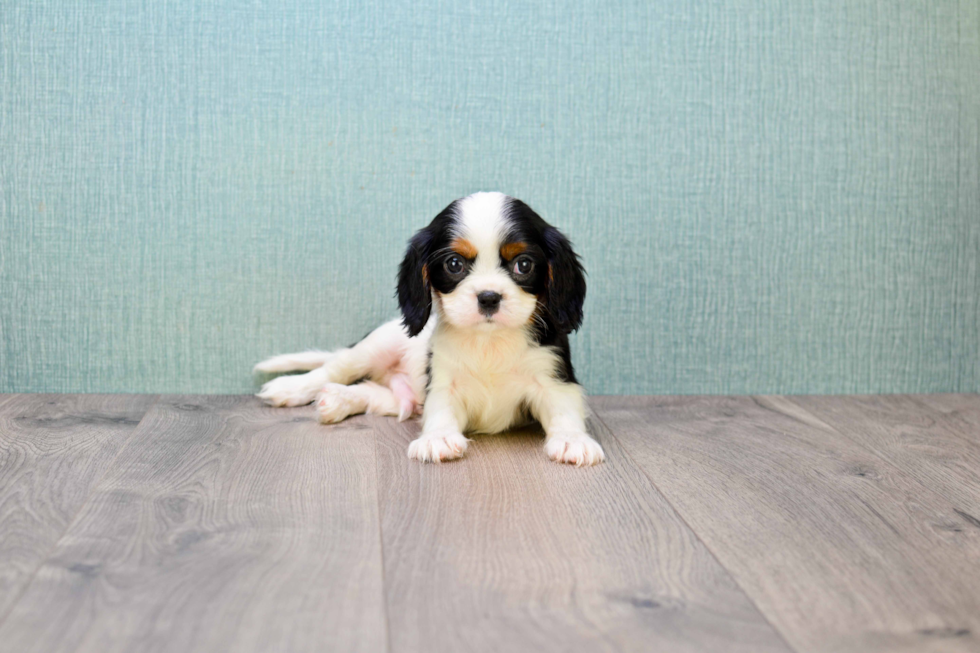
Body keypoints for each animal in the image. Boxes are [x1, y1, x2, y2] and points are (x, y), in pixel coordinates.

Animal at [253, 188, 604, 464]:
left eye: (524, 264)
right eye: (454, 264)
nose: (489, 297)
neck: (489, 341)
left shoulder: (553, 379)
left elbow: (564, 412)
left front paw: (573, 440)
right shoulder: (444, 381)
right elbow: (441, 412)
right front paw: (438, 438)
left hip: (401, 396)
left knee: (374, 393)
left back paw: (338, 401)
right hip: (376, 345)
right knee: (334, 368)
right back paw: (291, 388)